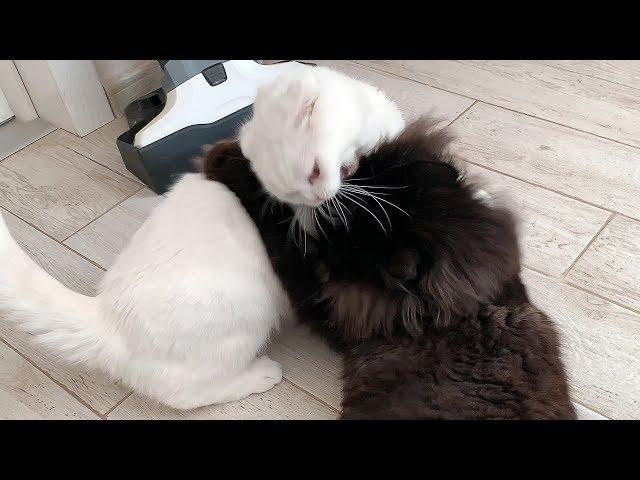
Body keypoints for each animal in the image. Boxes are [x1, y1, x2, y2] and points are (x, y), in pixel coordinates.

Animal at [201, 118, 576, 418]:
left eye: (342, 241)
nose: (322, 214)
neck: (470, 308)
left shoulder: (322, 300)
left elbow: (278, 227)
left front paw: (222, 156)